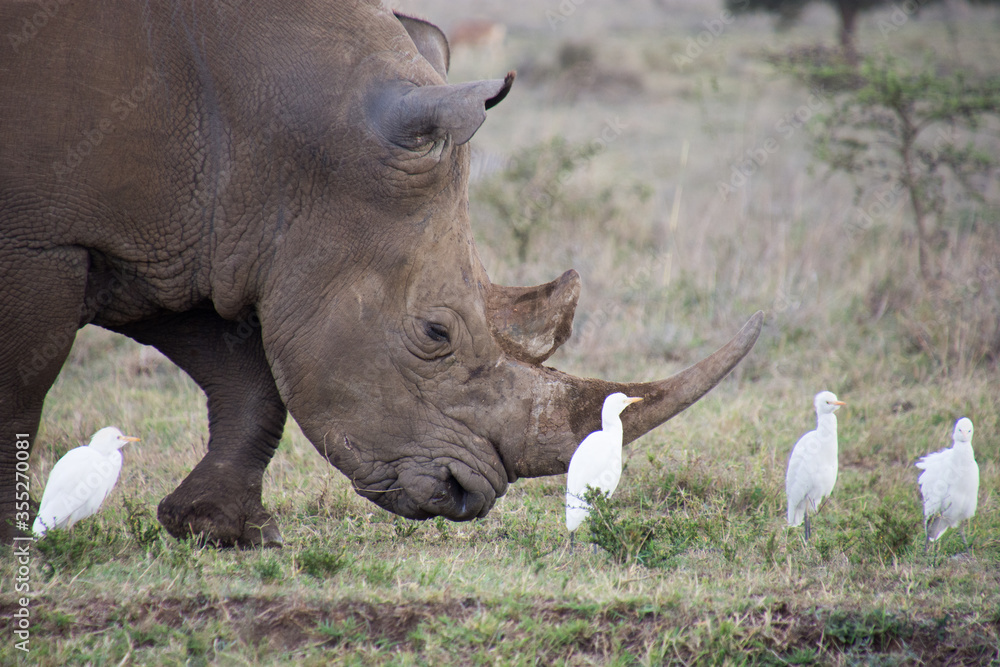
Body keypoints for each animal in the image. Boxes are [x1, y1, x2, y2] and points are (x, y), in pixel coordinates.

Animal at [0, 0, 762, 547]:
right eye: (434, 333)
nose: (467, 491)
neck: (275, 138)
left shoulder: (182, 241)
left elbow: (252, 382)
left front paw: (221, 530)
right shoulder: (44, 241)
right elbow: (22, 384)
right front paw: (14, 540)